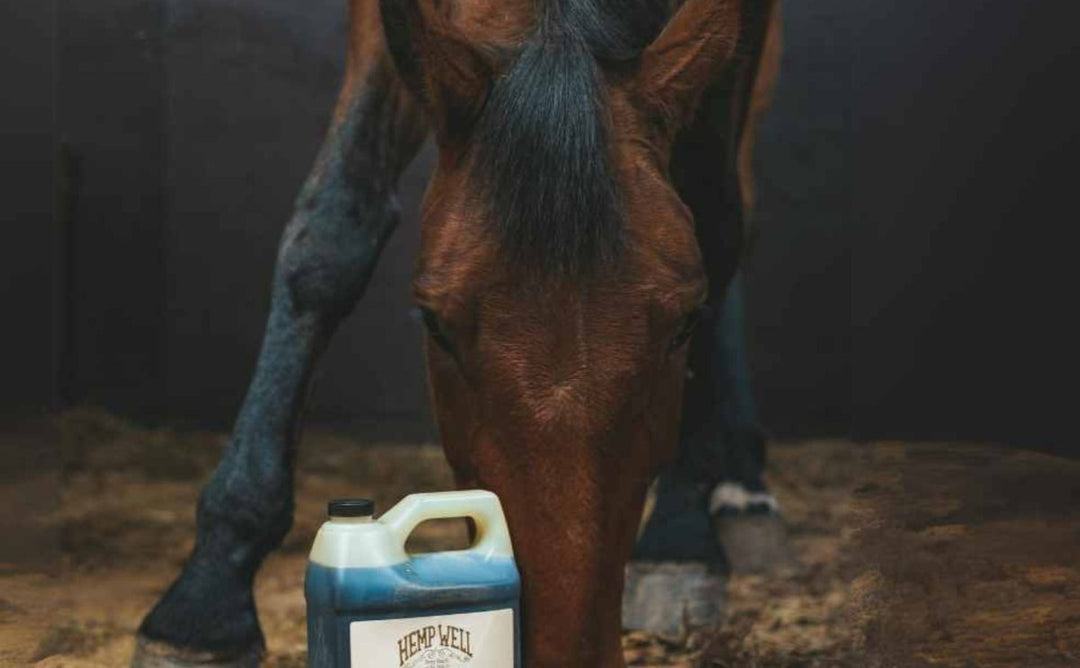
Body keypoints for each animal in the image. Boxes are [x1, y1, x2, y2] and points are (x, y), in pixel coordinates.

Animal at [132, 0, 782, 666]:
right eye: (435, 325)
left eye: (685, 323)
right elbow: (333, 231)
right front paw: (206, 597)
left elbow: (716, 219)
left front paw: (682, 530)